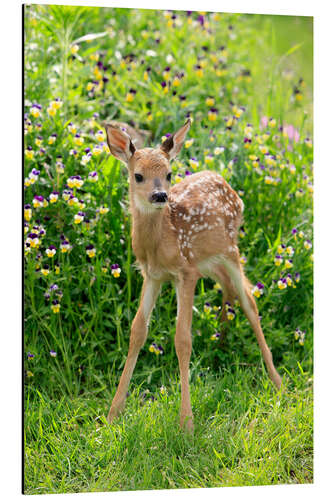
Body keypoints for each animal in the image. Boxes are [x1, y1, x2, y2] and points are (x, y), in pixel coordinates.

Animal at [104, 117, 280, 430]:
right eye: (138, 175)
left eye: (169, 173)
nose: (160, 195)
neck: (163, 239)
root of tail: (227, 183)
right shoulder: (153, 275)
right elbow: (137, 332)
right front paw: (114, 413)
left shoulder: (185, 273)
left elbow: (182, 339)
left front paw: (186, 423)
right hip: (209, 260)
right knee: (229, 289)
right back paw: (222, 340)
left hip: (230, 249)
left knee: (249, 299)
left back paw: (276, 380)